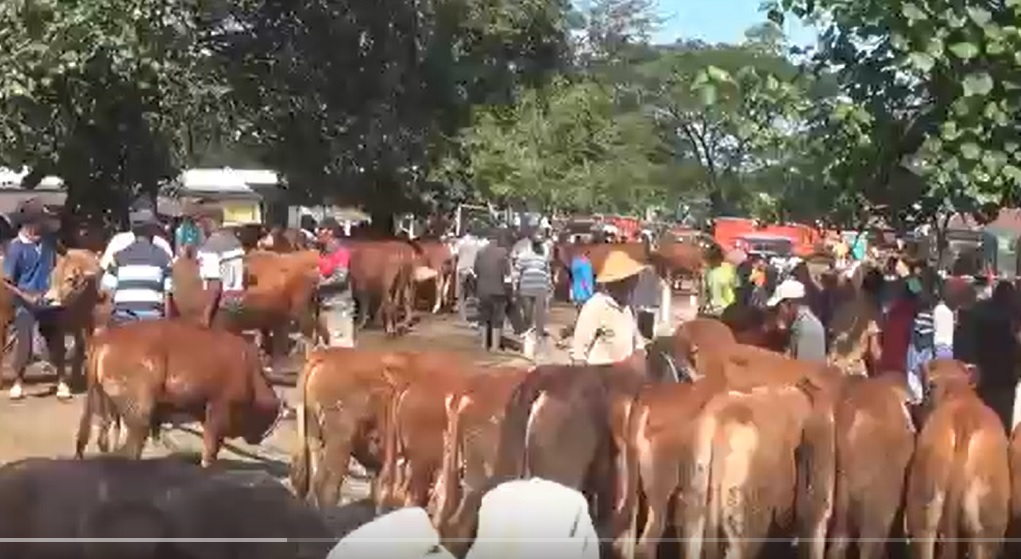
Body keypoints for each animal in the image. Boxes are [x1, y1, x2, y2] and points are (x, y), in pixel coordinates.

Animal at [72, 318, 281, 467]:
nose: (258, 439)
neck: (251, 373)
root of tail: (104, 339)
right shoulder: (219, 410)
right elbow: (211, 446)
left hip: (103, 405)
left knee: (102, 437)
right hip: (140, 412)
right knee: (132, 445)